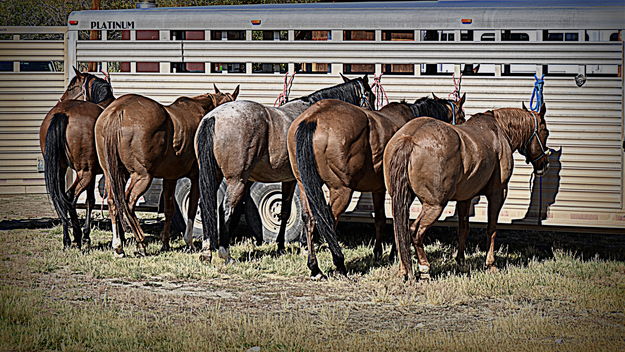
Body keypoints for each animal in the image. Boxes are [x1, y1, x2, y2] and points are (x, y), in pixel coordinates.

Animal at [39, 67, 115, 249]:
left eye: (71, 87)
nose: (60, 99)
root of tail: (62, 113)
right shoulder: (93, 173)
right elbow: (90, 201)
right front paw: (85, 235)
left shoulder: (92, 174)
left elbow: (90, 200)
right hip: (84, 172)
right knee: (69, 196)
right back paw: (77, 236)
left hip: (61, 169)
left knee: (61, 198)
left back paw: (67, 239)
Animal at [95, 84, 239, 258]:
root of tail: (117, 111)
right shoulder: (197, 177)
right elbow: (192, 209)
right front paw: (189, 242)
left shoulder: (170, 177)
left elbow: (169, 209)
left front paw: (165, 243)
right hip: (142, 176)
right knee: (128, 203)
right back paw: (141, 242)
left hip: (113, 174)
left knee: (113, 202)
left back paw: (118, 247)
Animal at [286, 95, 464, 280]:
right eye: (462, 116)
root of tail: (313, 118)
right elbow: (399, 218)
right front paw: (394, 253)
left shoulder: (378, 189)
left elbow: (380, 218)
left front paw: (378, 253)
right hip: (341, 190)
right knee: (328, 220)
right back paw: (339, 263)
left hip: (304, 185)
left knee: (309, 219)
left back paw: (315, 268)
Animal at [382, 102, 548, 280]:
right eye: (545, 132)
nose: (544, 164)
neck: (499, 131)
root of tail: (410, 138)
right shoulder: (498, 193)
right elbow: (492, 229)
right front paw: (491, 264)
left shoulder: (465, 198)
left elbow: (463, 228)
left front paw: (461, 261)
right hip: (434, 206)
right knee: (415, 231)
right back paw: (424, 268)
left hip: (402, 199)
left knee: (400, 231)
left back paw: (404, 269)